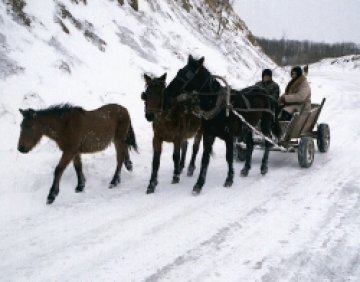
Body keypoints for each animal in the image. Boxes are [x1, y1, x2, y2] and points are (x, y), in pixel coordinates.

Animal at [165, 55, 280, 194]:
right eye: (179, 71)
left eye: (187, 74)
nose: (167, 92)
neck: (217, 104)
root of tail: (264, 91)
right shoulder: (208, 135)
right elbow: (205, 158)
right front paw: (199, 184)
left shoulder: (229, 137)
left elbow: (229, 157)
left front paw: (229, 179)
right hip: (248, 126)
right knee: (250, 145)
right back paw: (246, 169)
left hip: (265, 122)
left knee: (268, 141)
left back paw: (263, 167)